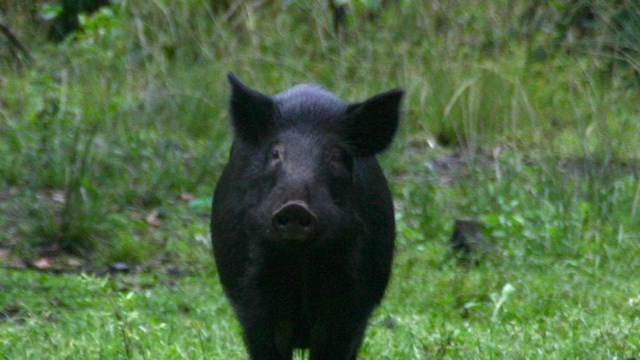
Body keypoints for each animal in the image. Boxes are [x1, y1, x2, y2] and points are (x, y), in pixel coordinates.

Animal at [212, 74, 402, 360]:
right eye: (276, 153)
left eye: (336, 155)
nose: (295, 207)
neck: (301, 261)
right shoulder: (254, 296)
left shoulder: (351, 300)